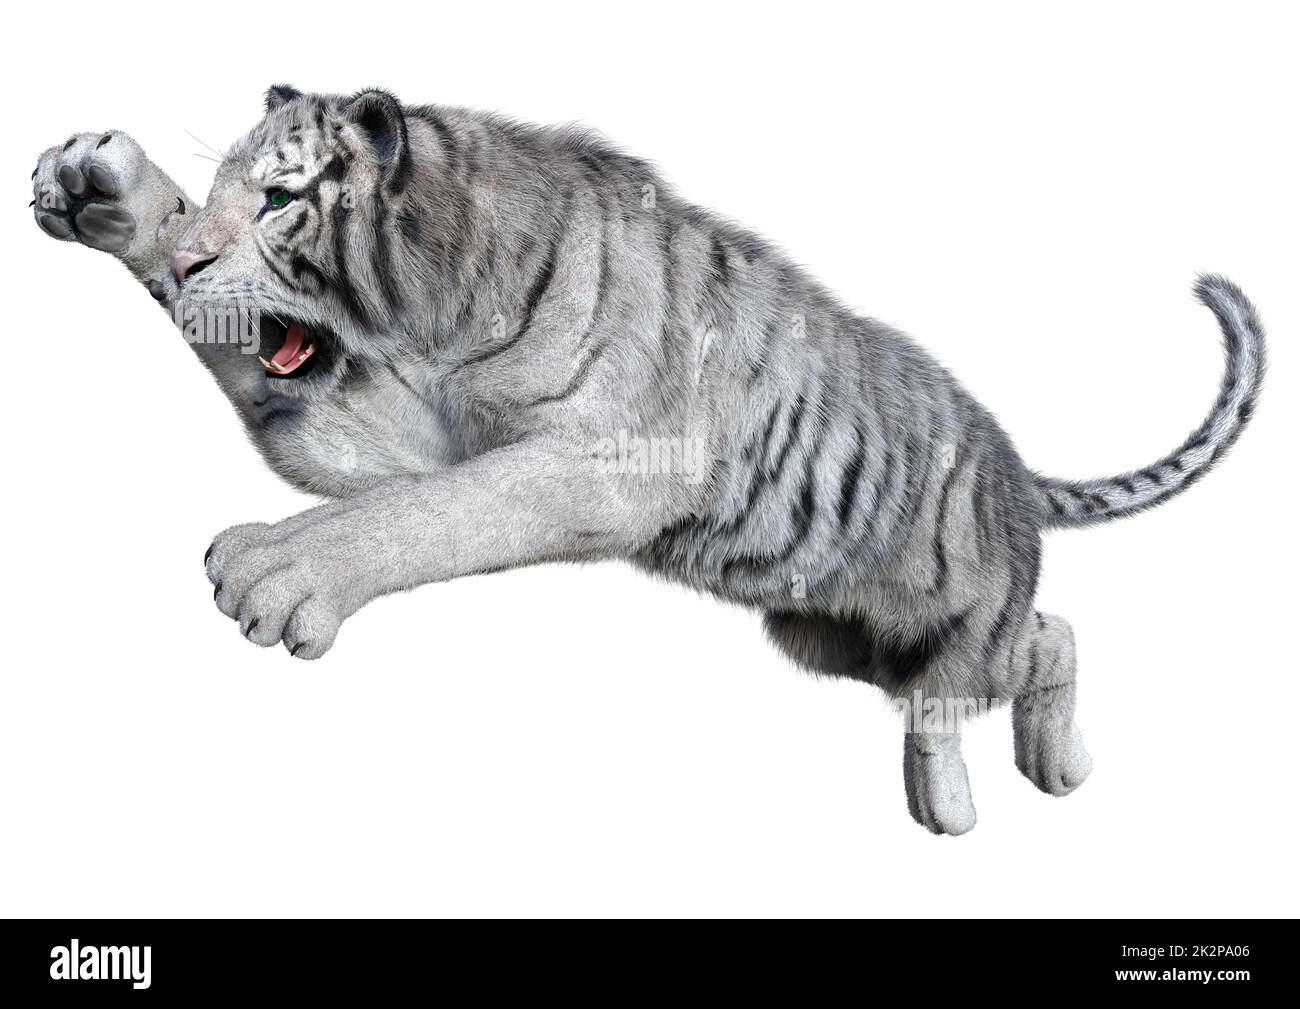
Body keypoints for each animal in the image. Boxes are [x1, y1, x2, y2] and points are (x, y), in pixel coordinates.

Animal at [30, 85, 1266, 834]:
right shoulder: (410, 435)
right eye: (217, 193)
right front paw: (103, 191)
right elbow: (386, 486)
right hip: (838, 636)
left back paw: (1004, 788)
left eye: (281, 200)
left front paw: (275, 574)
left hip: (954, 622)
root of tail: (1013, 463)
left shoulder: (602, 463)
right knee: (1006, 655)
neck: (447, 297)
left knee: (1035, 644)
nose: (185, 267)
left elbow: (437, 516)